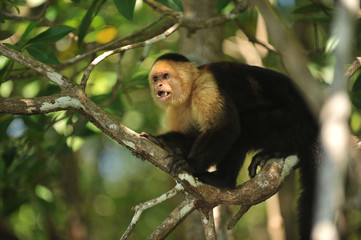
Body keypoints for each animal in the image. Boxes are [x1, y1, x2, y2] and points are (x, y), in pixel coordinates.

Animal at [143, 53, 318, 240]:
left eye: (166, 76)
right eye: (155, 79)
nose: (159, 85)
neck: (190, 90)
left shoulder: (206, 87)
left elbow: (225, 127)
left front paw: (191, 164)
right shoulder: (177, 109)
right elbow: (192, 136)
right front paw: (160, 141)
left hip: (294, 119)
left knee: (244, 128)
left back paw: (223, 180)